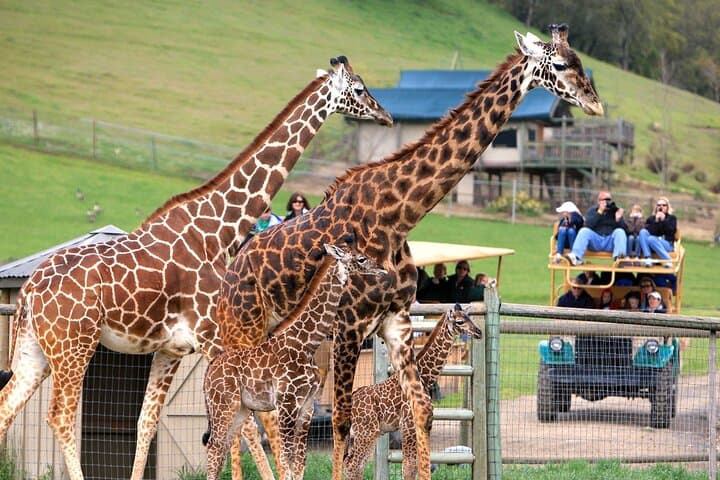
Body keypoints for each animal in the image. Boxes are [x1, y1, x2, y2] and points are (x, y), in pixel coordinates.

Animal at [203, 244, 385, 480]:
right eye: (361, 259)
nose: (382, 268)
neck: (307, 344)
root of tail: (209, 369)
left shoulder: (307, 406)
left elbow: (299, 462)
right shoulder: (287, 403)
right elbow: (286, 460)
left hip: (240, 408)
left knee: (222, 445)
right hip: (224, 406)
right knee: (214, 447)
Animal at [343, 303, 483, 480]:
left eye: (469, 317)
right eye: (459, 321)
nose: (479, 332)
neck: (425, 376)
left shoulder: (425, 424)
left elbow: (421, 464)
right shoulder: (409, 425)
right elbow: (409, 467)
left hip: (359, 435)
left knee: (353, 464)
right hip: (366, 433)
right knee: (352, 465)